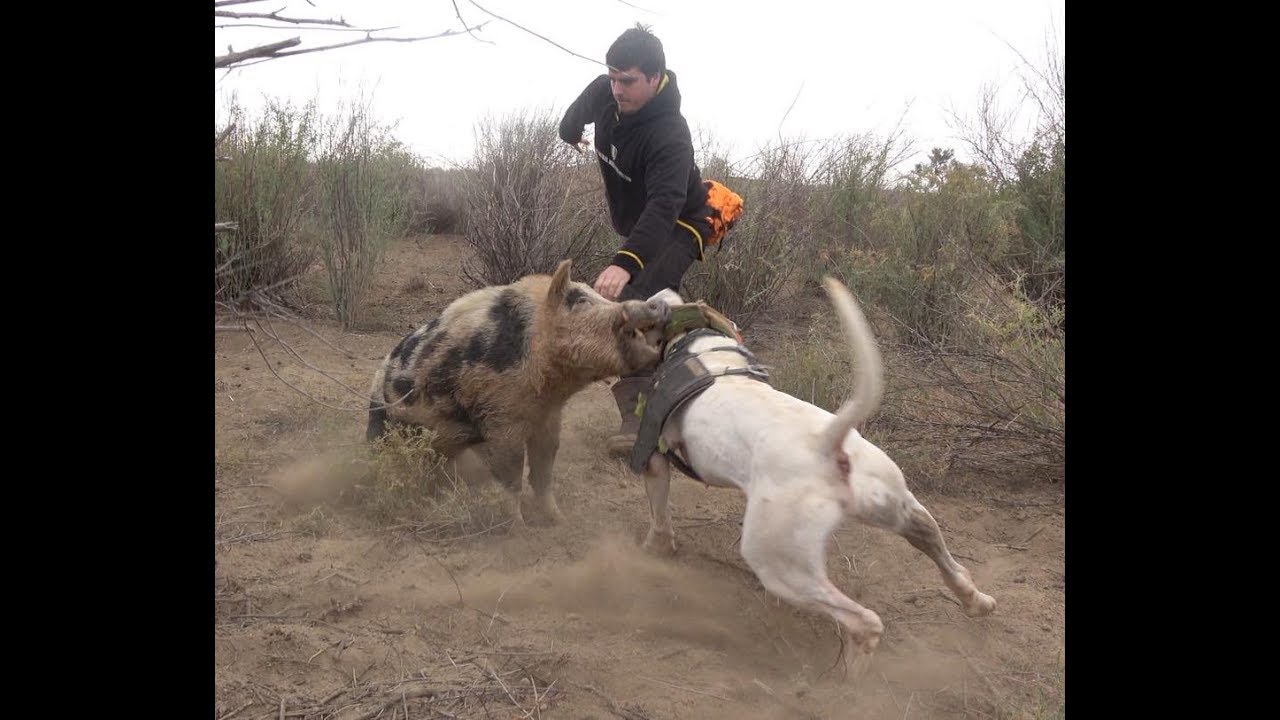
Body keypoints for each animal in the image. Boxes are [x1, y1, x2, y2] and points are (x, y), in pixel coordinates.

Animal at [634, 279, 993, 666]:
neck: (698, 345)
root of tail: (826, 443)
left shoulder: (654, 460)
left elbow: (659, 515)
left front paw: (654, 549)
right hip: (894, 504)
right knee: (933, 541)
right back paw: (976, 600)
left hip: (777, 562)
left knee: (864, 620)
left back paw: (851, 666)